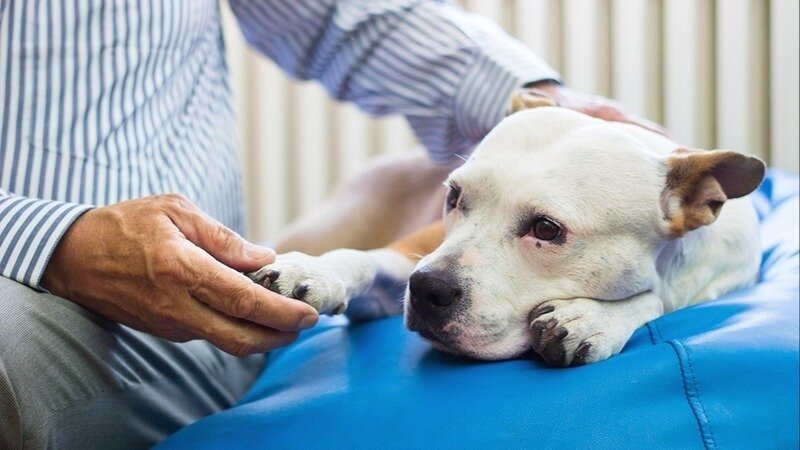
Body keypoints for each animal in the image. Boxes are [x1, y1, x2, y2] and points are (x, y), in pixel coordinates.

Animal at [249, 96, 765, 366]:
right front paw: (312, 272)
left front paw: (593, 319)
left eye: (546, 229)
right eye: (454, 196)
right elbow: (362, 258)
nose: (428, 288)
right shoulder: (408, 257)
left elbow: (657, 298)